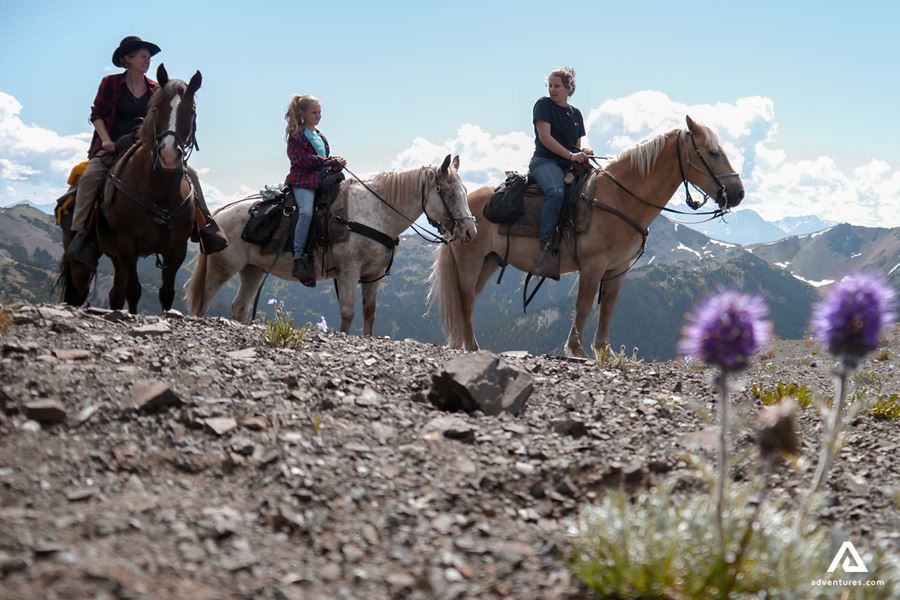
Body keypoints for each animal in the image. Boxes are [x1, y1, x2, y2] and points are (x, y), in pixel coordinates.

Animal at [186, 154, 477, 334]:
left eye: (464, 191)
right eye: (447, 192)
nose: (470, 231)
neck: (375, 213)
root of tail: (219, 213)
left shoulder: (372, 276)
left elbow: (369, 313)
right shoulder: (348, 272)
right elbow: (347, 312)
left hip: (253, 271)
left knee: (239, 306)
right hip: (222, 268)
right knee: (203, 301)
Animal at [429, 116, 745, 358]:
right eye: (712, 152)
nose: (738, 193)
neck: (620, 198)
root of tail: (463, 208)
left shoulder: (617, 270)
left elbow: (607, 309)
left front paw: (604, 351)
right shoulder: (593, 266)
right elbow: (583, 306)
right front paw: (577, 350)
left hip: (490, 262)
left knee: (470, 300)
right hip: (470, 261)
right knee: (466, 300)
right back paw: (472, 348)